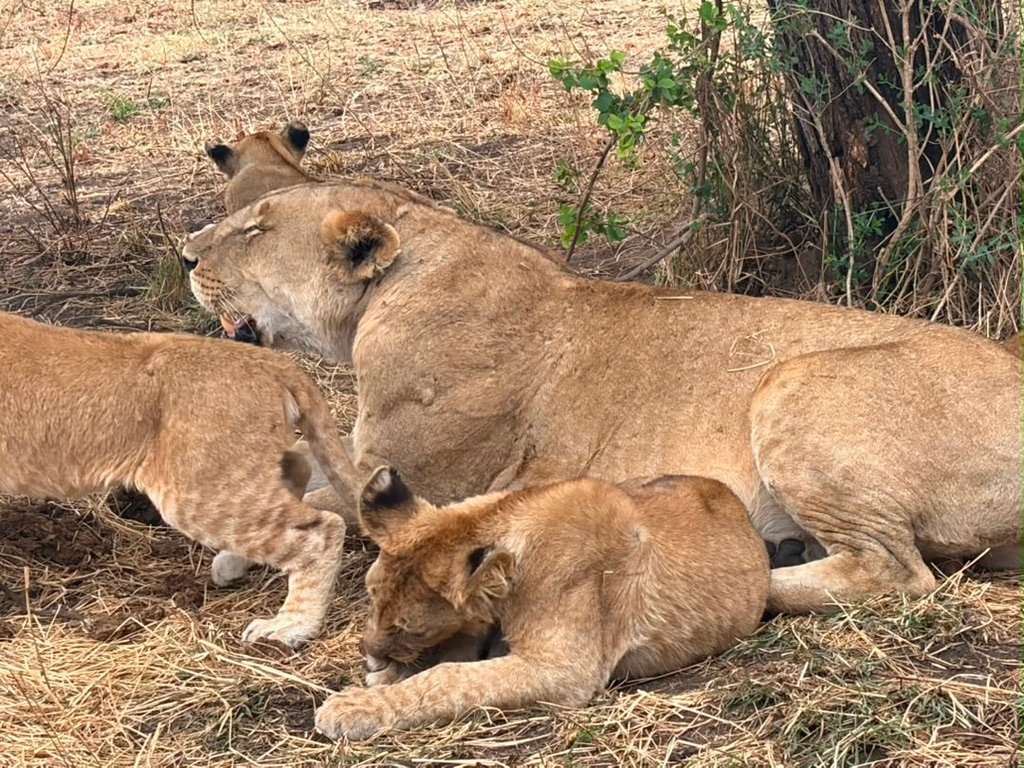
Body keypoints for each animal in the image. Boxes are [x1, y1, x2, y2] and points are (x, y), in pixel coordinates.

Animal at [0, 310, 363, 647]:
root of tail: (272, 361)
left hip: (198, 490)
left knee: (322, 529)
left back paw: (290, 626)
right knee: (297, 480)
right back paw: (234, 565)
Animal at [182, 181, 1021, 615]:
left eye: (254, 230)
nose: (185, 254)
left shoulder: (417, 476)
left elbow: (317, 501)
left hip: (792, 383)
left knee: (896, 572)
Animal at [313, 467, 769, 740]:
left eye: (410, 628)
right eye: (371, 599)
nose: (368, 654)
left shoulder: (566, 671)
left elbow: (447, 678)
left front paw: (354, 705)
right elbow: (447, 660)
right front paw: (383, 678)